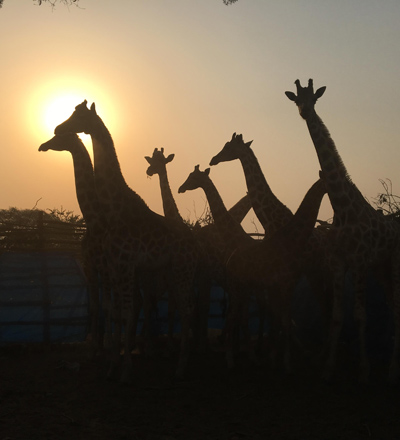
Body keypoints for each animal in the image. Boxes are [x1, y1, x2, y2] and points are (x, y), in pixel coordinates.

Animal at [38, 132, 114, 352]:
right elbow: (95, 306)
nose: (42, 145)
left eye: (58, 136)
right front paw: (95, 345)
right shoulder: (89, 266)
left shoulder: (105, 267)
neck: (93, 219)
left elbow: (107, 305)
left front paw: (108, 344)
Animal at [54, 100, 198, 382]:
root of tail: (193, 241)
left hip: (183, 269)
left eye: (79, 115)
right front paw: (112, 365)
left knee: (186, 311)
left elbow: (125, 312)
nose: (56, 128)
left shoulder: (125, 264)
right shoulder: (114, 265)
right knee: (180, 309)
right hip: (171, 271)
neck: (113, 209)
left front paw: (124, 369)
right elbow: (118, 313)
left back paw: (180, 366)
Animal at [223, 175, 326, 372]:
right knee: (232, 316)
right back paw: (231, 360)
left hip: (244, 287)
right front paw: (284, 361)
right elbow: (283, 320)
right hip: (237, 285)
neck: (292, 240)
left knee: (238, 316)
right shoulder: (284, 284)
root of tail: (230, 259)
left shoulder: (285, 285)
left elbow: (282, 319)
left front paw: (274, 357)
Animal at [284, 78, 400, 382]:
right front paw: (327, 368)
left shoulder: (358, 262)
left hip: (394, 263)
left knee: (397, 306)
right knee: (392, 304)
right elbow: (336, 315)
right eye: (296, 99)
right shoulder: (339, 263)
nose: (305, 112)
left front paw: (364, 369)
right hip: (381, 267)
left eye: (314, 99)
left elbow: (360, 314)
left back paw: (392, 369)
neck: (342, 206)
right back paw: (391, 365)